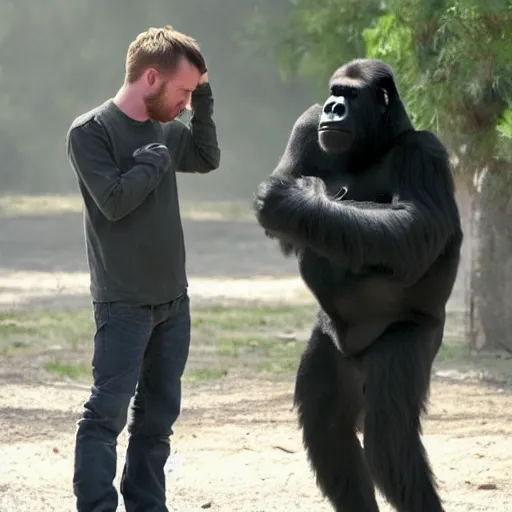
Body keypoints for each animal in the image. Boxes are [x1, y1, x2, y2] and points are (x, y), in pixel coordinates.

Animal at [253, 58, 464, 510]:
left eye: (348, 95)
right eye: (334, 92)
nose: (333, 108)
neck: (378, 143)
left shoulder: (426, 153)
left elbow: (413, 225)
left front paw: (296, 200)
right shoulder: (306, 125)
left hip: (416, 337)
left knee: (388, 439)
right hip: (332, 344)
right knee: (327, 422)